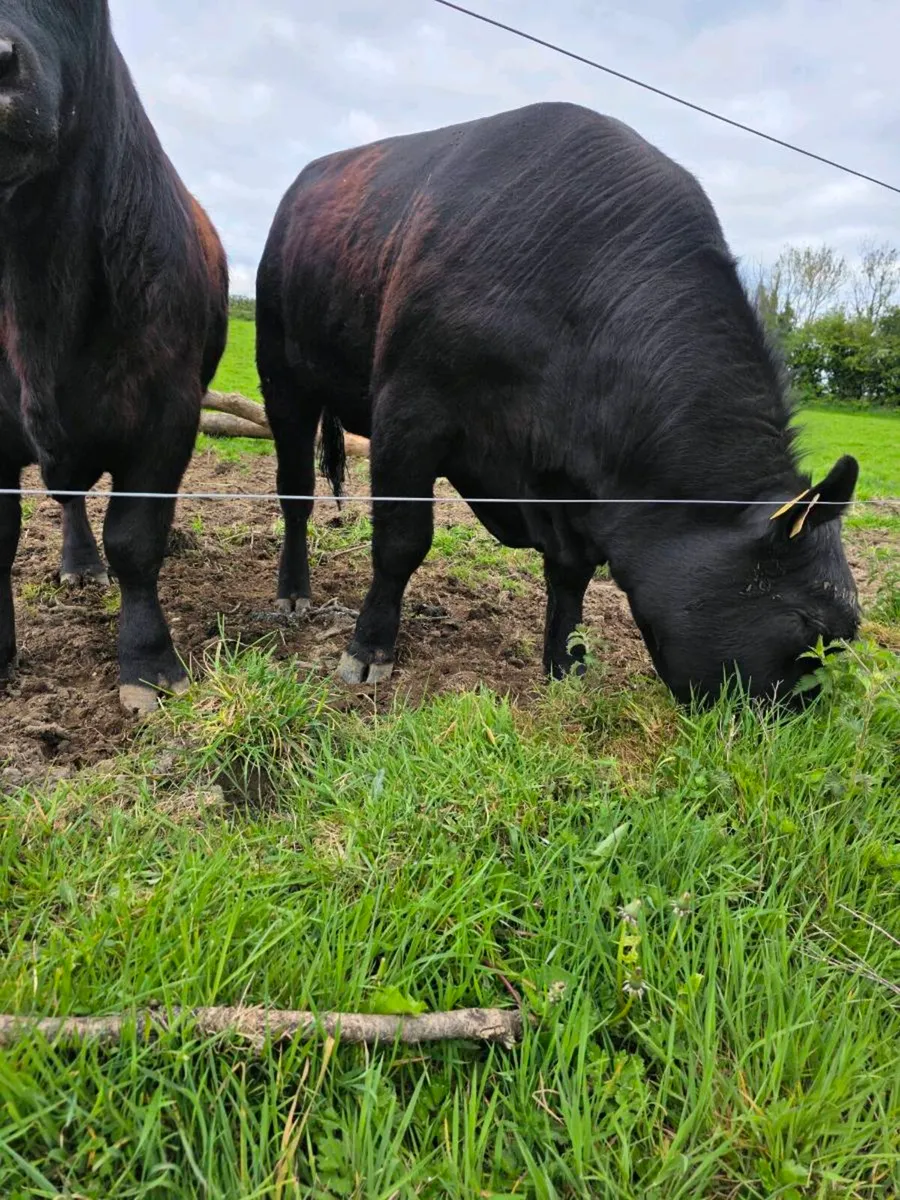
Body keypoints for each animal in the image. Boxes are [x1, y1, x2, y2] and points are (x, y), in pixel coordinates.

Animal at [256, 101, 860, 707]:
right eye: (810, 627)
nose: (798, 724)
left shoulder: (570, 486)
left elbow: (571, 572)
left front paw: (564, 666)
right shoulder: (409, 412)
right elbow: (402, 540)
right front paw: (369, 648)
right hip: (282, 376)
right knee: (296, 492)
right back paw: (292, 593)